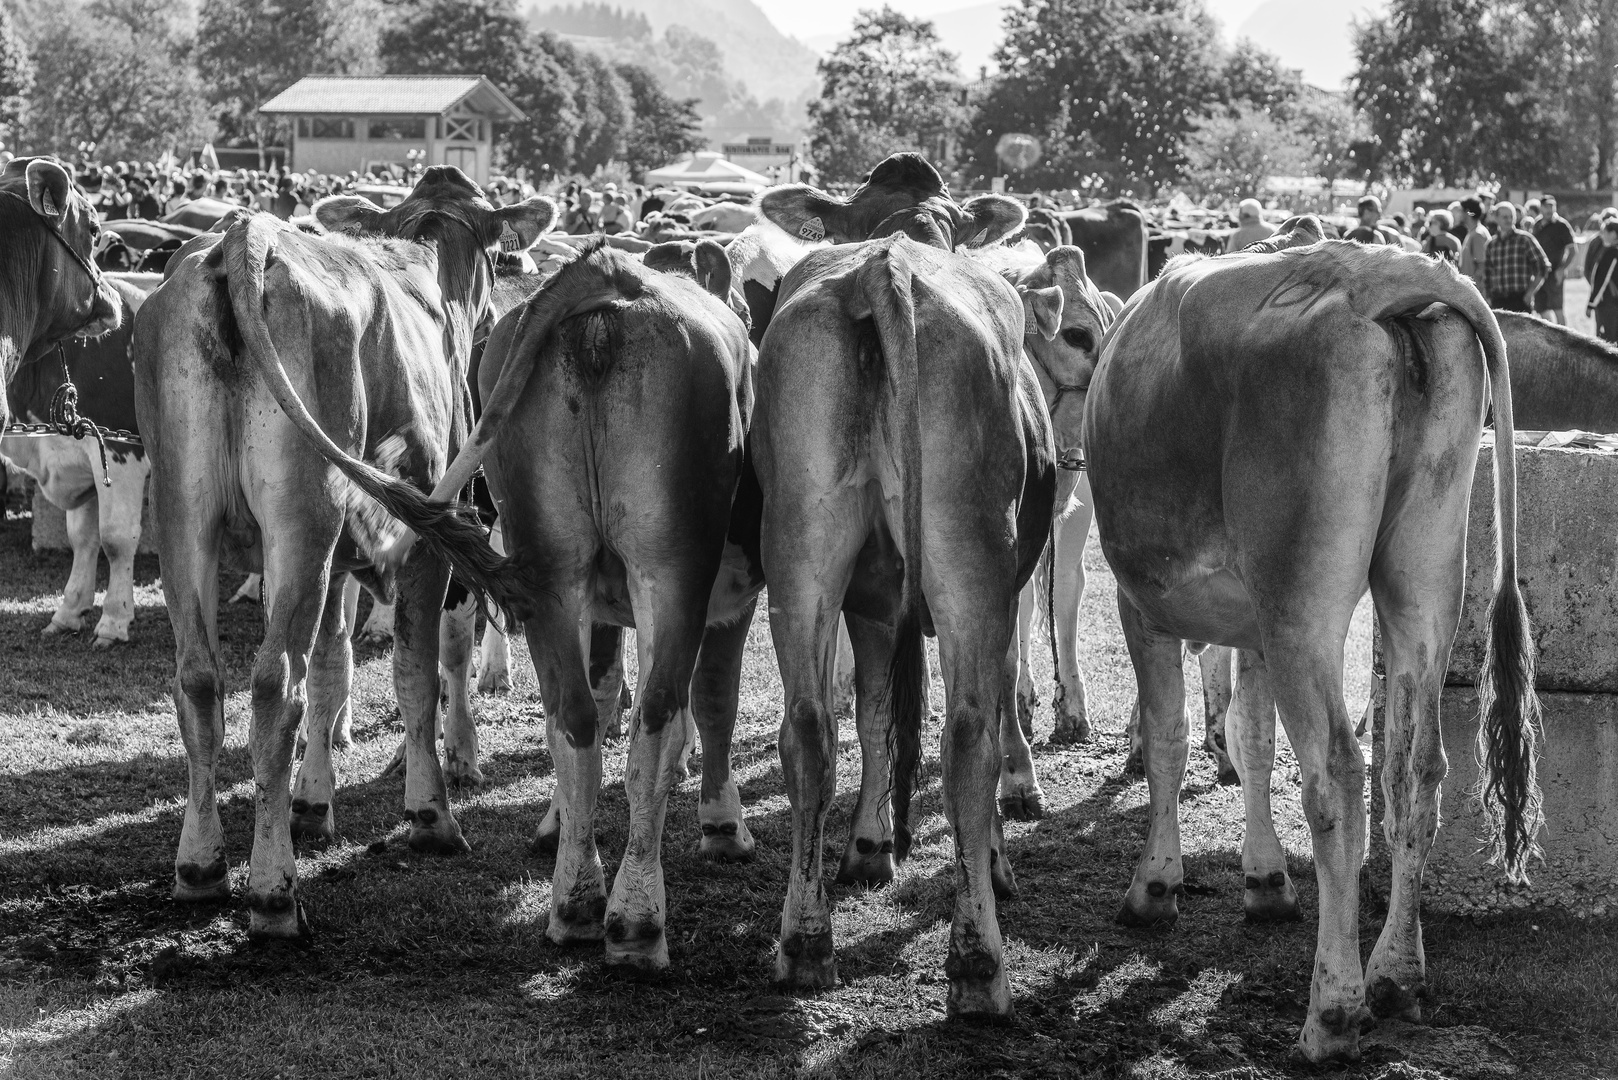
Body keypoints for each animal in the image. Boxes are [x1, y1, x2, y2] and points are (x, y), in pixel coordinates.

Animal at [3, 275, 159, 647]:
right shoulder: (78, 462)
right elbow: (82, 538)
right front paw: (69, 612)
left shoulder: (119, 451)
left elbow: (115, 538)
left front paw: (114, 621)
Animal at [129, 169, 556, 939]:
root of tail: (245, 240)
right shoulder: (424, 545)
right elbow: (415, 674)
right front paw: (430, 815)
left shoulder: (336, 560)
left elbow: (333, 668)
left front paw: (312, 803)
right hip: (303, 519)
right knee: (275, 686)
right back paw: (273, 892)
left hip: (187, 512)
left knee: (202, 680)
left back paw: (201, 866)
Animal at [1087, 241, 1540, 1062]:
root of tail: (1373, 271)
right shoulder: (1257, 628)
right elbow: (1253, 739)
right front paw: (1266, 883)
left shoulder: (1143, 605)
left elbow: (1170, 741)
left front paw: (1154, 886)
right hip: (1421, 577)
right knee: (1415, 771)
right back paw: (1396, 975)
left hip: (1303, 604)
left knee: (1336, 776)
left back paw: (1333, 1010)